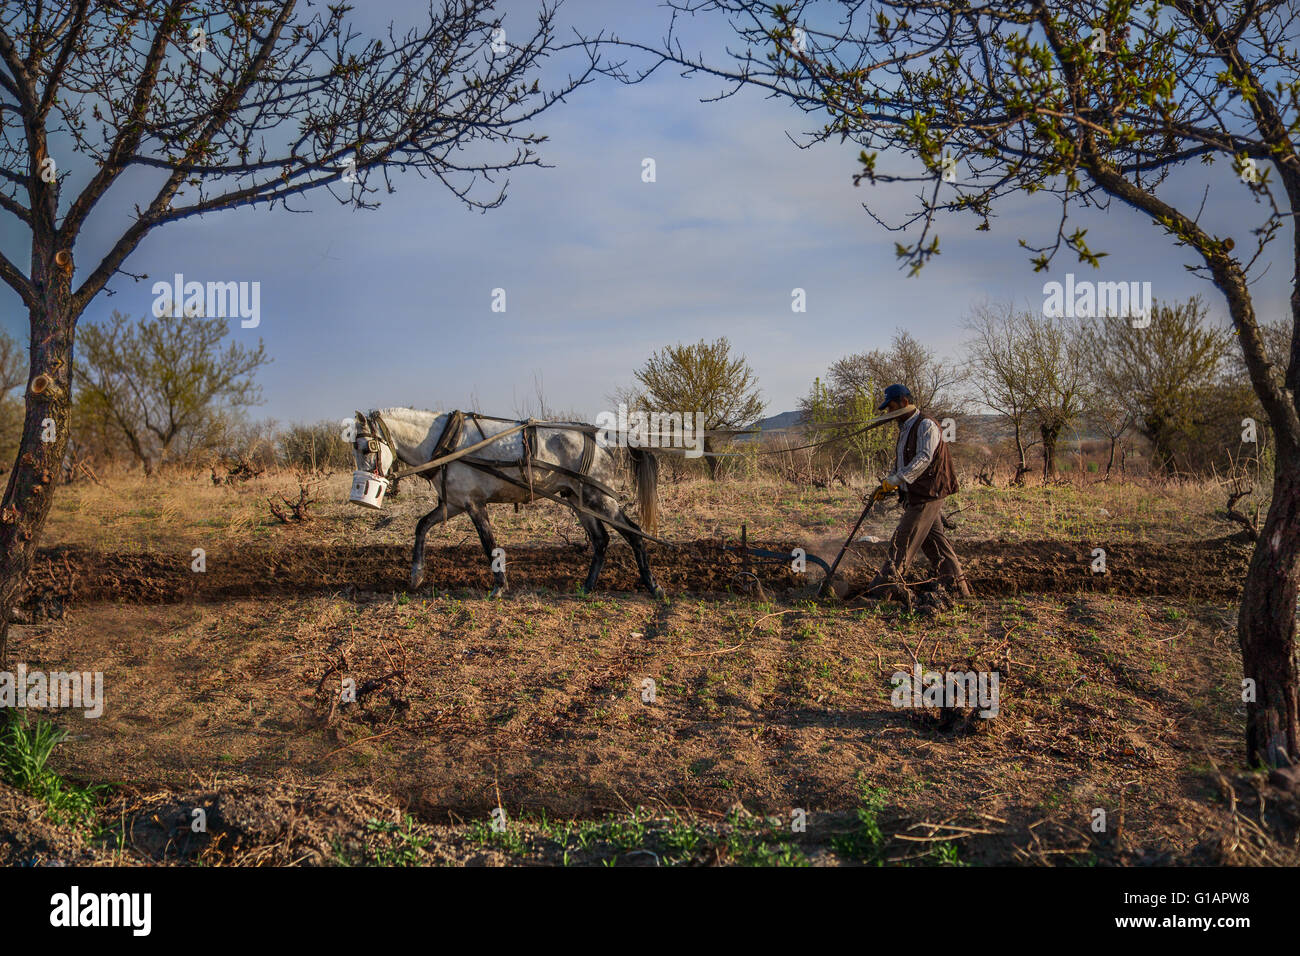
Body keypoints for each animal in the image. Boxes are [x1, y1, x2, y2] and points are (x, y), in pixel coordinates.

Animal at [351, 407, 664, 597]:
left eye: (367, 447)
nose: (365, 491)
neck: (446, 443)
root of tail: (605, 438)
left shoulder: (474, 504)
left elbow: (488, 543)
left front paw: (499, 586)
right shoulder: (454, 503)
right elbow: (422, 526)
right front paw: (416, 575)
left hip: (600, 498)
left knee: (634, 534)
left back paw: (652, 585)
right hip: (579, 499)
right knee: (600, 541)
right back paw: (587, 587)